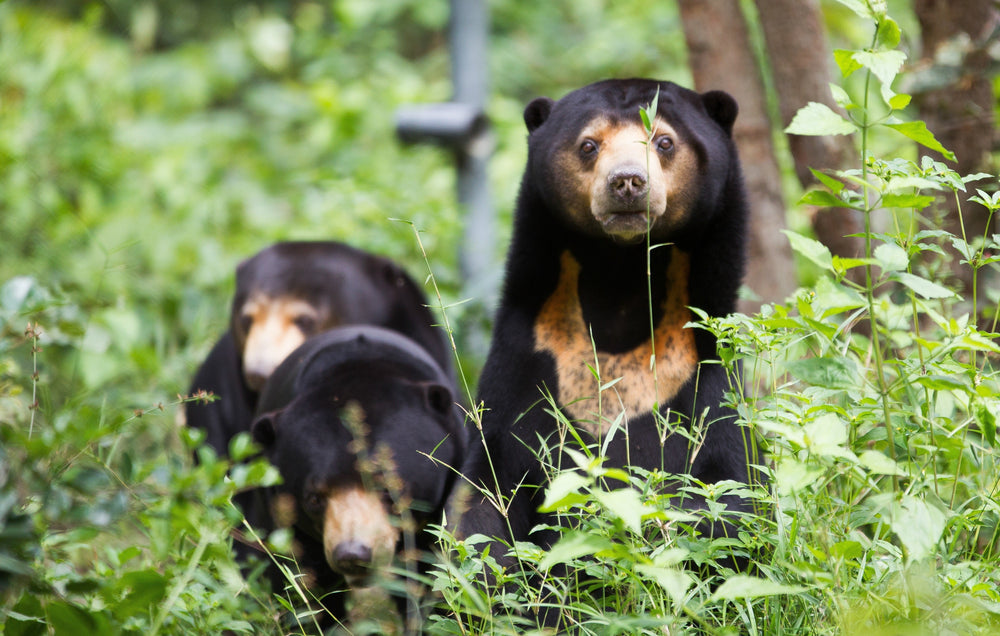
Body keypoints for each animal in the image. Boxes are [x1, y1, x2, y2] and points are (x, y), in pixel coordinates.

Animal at [454, 79, 760, 562]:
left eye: (664, 141)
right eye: (588, 145)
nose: (627, 181)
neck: (621, 278)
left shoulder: (703, 375)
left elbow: (730, 499)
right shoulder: (528, 358)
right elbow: (489, 494)